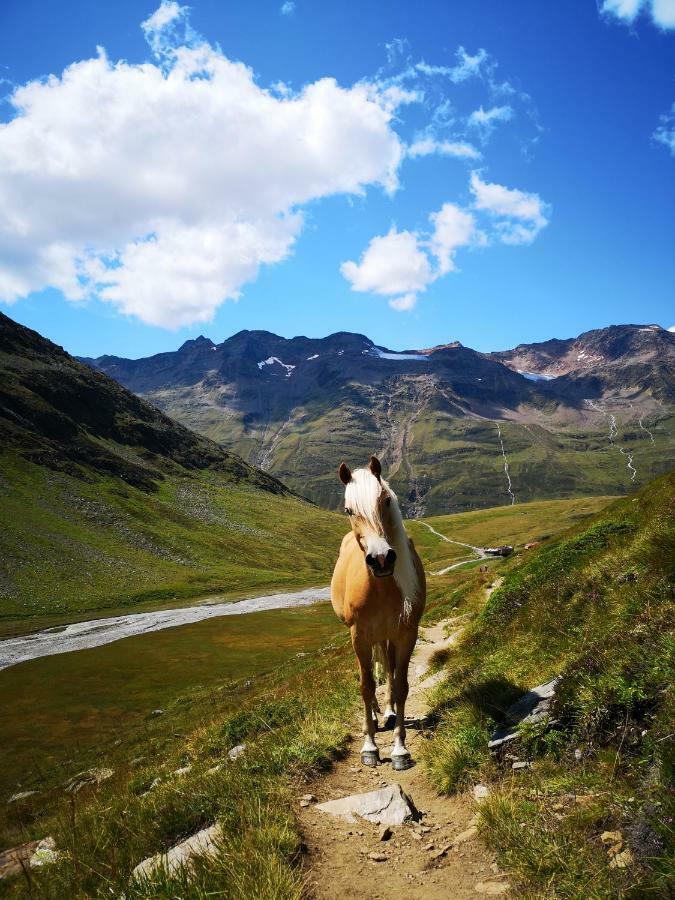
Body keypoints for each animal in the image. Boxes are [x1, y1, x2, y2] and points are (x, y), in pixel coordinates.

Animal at [328, 454, 428, 768]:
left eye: (385, 500)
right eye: (348, 509)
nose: (381, 559)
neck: (381, 588)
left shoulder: (406, 634)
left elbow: (399, 684)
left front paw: (399, 749)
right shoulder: (359, 636)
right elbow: (365, 685)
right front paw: (370, 746)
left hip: (386, 636)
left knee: (387, 666)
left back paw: (388, 712)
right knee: (372, 671)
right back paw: (371, 716)